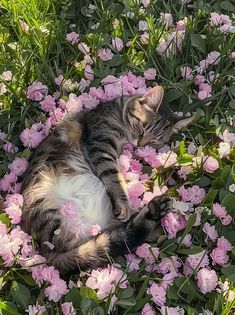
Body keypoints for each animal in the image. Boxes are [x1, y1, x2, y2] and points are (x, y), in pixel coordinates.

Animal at [20, 86, 193, 274]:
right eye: (142, 128)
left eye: (155, 140)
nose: (140, 144)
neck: (117, 111)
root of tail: (46, 254)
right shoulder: (101, 145)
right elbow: (113, 177)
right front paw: (123, 202)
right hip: (50, 212)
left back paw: (158, 211)